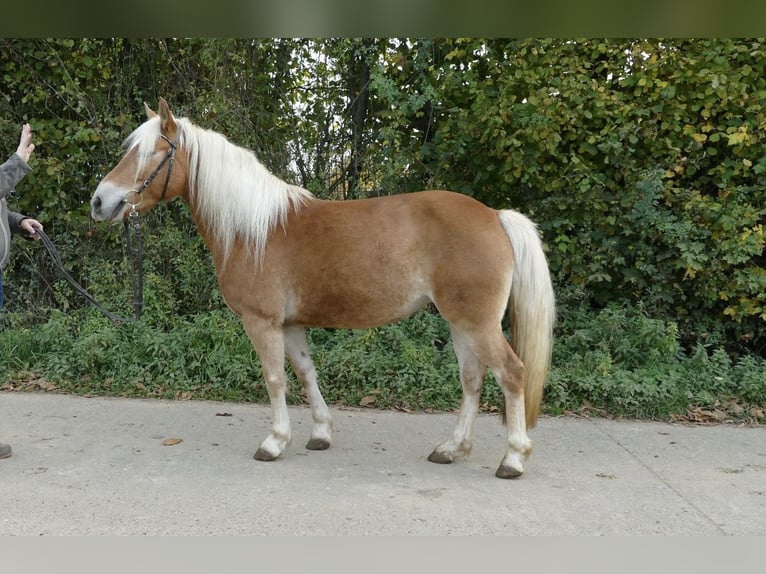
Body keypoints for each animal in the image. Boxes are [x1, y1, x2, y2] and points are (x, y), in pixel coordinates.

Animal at [91, 99, 560, 482]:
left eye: (152, 153)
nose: (100, 201)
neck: (252, 230)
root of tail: (495, 215)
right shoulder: (291, 324)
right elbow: (305, 373)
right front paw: (320, 433)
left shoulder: (262, 322)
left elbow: (275, 378)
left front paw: (275, 442)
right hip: (461, 323)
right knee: (472, 380)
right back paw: (452, 449)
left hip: (477, 323)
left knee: (511, 374)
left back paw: (513, 459)